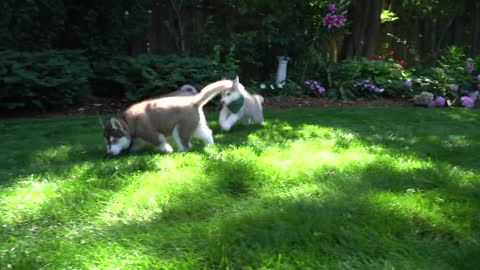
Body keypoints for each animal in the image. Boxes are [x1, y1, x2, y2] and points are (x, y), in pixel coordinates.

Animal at [100, 77, 238, 156]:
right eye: (107, 141)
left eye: (114, 140)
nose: (109, 153)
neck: (129, 123)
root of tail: (193, 101)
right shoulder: (138, 136)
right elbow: (137, 143)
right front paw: (133, 150)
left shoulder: (151, 133)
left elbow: (160, 141)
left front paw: (167, 150)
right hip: (195, 126)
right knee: (207, 133)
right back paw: (210, 144)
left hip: (179, 130)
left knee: (187, 145)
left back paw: (179, 152)